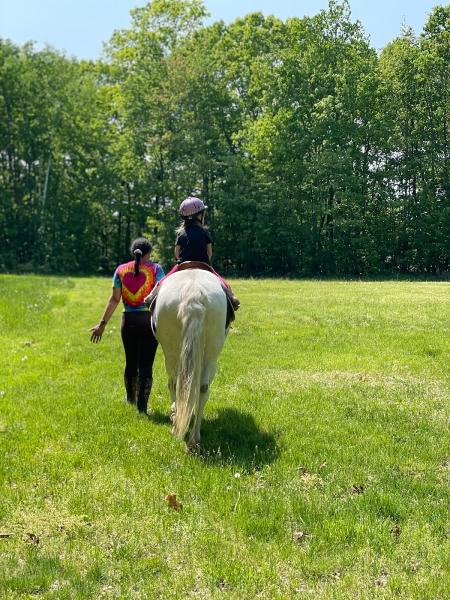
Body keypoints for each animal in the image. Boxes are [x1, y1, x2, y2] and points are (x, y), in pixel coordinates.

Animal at [155, 270, 229, 448]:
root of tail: (193, 291)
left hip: (172, 353)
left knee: (175, 384)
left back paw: (178, 425)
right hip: (211, 353)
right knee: (202, 388)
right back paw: (194, 437)